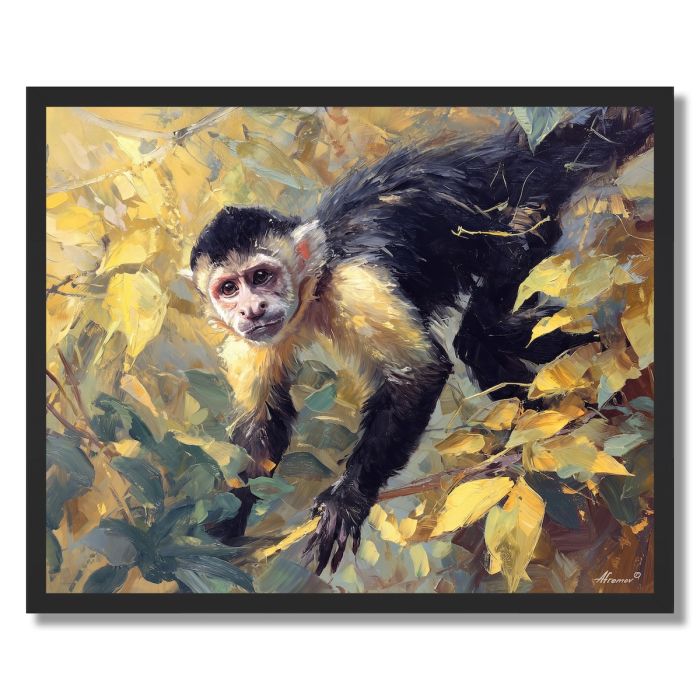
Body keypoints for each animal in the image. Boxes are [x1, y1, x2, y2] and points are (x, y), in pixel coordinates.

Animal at [189, 106, 653, 575]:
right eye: (228, 288)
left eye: (261, 276)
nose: (251, 309)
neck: (313, 290)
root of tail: (516, 154)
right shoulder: (248, 341)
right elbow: (262, 429)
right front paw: (219, 532)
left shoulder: (354, 283)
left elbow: (421, 374)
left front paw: (348, 497)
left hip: (526, 211)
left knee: (482, 332)